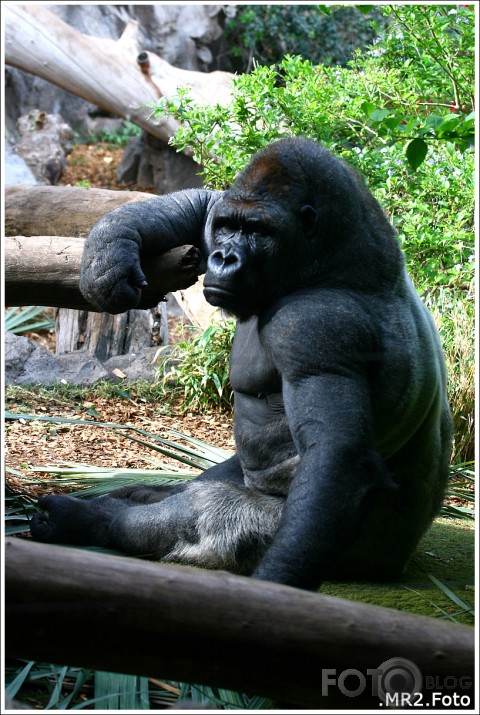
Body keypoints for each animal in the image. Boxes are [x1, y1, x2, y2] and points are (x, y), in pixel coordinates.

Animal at [31, 137, 452, 592]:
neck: (327, 261)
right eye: (230, 227)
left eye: (257, 232)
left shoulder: (316, 325)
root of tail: (400, 560)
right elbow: (202, 203)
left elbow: (337, 460)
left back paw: (90, 519)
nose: (223, 258)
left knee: (205, 510)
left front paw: (278, 582)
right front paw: (110, 255)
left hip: (354, 554)